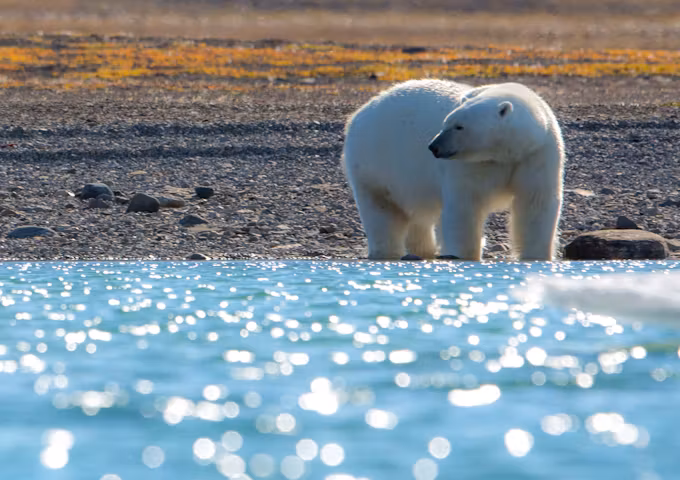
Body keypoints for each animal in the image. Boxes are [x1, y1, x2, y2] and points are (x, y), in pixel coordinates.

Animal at [342, 79, 564, 261]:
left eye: (459, 126)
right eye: (446, 122)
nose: (433, 147)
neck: (507, 153)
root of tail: (358, 114)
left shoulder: (537, 154)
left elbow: (536, 203)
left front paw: (537, 256)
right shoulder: (470, 166)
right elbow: (464, 206)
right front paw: (465, 256)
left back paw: (423, 251)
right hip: (374, 161)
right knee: (382, 211)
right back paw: (388, 251)